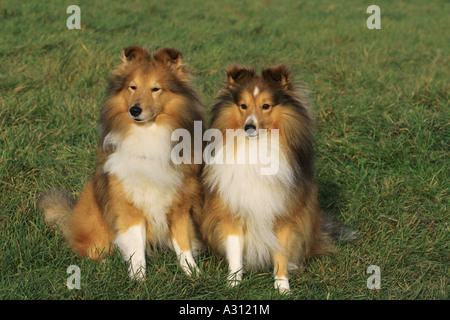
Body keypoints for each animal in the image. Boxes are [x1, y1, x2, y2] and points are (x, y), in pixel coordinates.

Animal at [38, 45, 204, 280]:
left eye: (156, 89)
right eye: (132, 87)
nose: (134, 110)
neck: (148, 135)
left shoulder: (180, 204)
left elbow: (183, 242)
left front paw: (192, 272)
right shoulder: (128, 205)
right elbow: (135, 245)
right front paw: (138, 278)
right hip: (93, 217)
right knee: (88, 249)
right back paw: (104, 264)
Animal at [199, 64, 332, 292]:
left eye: (266, 105)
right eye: (243, 105)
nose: (249, 127)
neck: (257, 147)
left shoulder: (284, 214)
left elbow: (281, 251)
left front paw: (282, 286)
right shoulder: (232, 210)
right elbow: (235, 250)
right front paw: (233, 282)